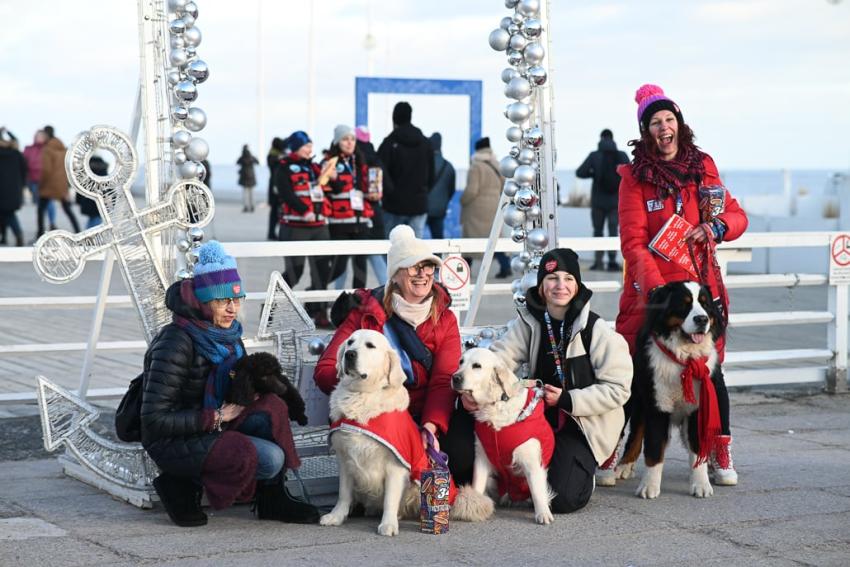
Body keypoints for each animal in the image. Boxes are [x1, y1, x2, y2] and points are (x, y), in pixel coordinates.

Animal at [450, 348, 556, 524]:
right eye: (460, 362)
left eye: (477, 366)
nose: (455, 378)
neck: (496, 404)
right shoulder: (482, 456)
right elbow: (477, 484)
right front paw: (474, 505)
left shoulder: (531, 461)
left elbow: (537, 490)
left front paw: (543, 513)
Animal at [612, 282, 724, 500]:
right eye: (684, 304)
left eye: (705, 304)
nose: (702, 319)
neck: (685, 359)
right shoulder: (658, 406)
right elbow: (654, 449)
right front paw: (649, 487)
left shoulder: (698, 409)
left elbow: (697, 450)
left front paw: (700, 484)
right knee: (635, 433)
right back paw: (622, 467)